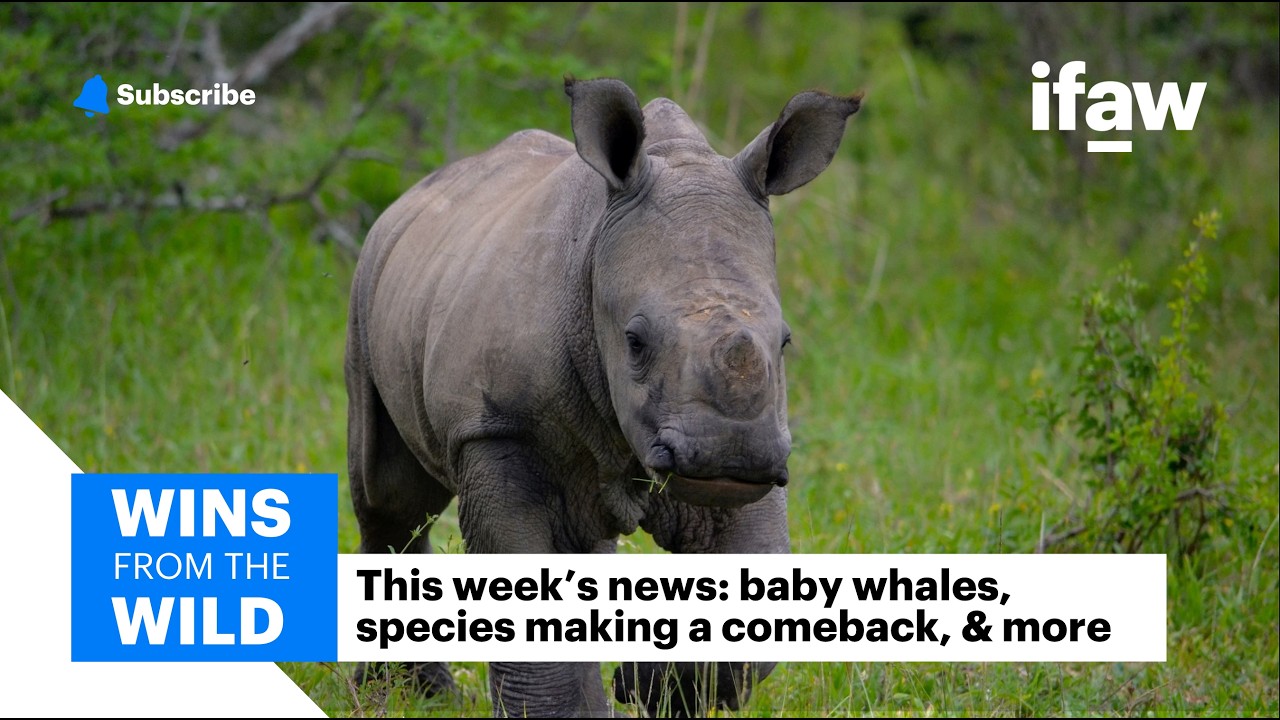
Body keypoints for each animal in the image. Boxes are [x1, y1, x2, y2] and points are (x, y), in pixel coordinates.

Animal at [346, 77, 861, 717]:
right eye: (634, 342)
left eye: (785, 342)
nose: (727, 452)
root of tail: (413, 195)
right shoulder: (495, 426)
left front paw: (642, 688)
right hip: (368, 283)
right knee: (391, 495)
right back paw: (406, 694)